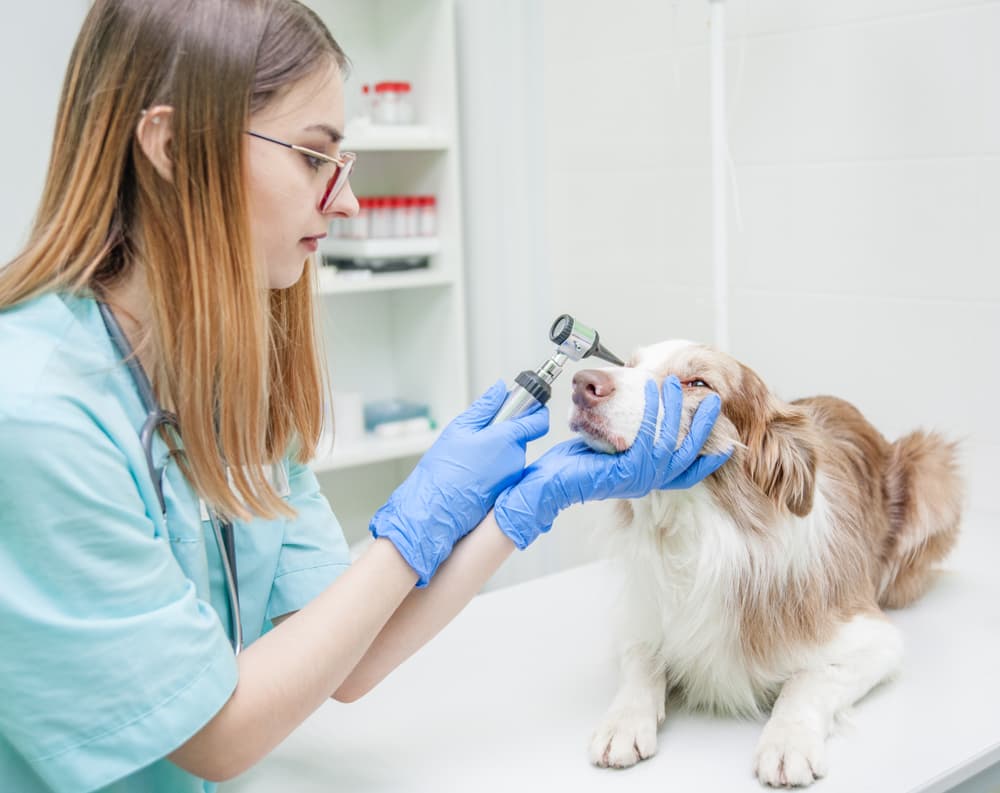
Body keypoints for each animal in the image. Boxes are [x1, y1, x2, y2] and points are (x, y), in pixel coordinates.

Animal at [576, 338, 964, 784]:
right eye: (628, 364)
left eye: (697, 382)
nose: (582, 383)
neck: (697, 534)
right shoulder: (639, 613)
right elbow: (643, 660)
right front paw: (623, 722)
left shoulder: (875, 638)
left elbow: (810, 678)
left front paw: (788, 741)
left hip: (931, 468)